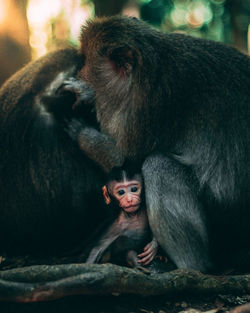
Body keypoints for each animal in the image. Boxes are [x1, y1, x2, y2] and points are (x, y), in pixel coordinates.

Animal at [71, 15, 250, 272]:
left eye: (86, 62)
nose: (78, 72)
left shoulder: (146, 109)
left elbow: (126, 161)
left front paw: (83, 132)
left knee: (158, 166)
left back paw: (191, 266)